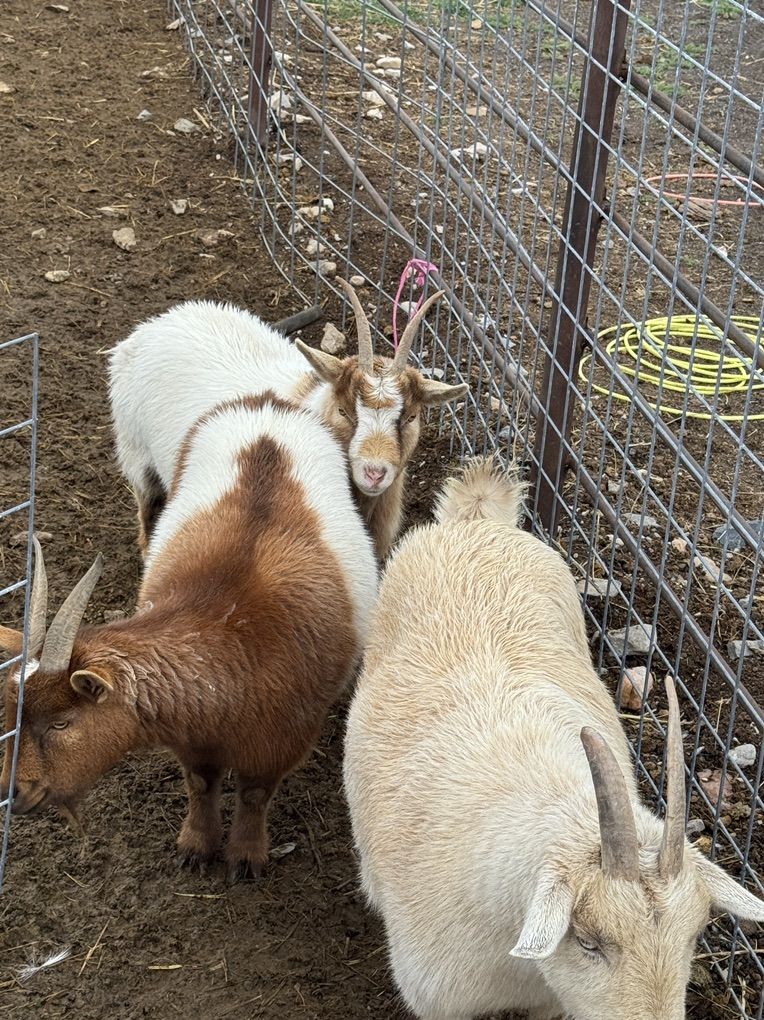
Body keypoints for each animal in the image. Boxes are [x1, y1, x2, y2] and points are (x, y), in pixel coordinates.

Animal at [1, 392, 378, 882]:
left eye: (62, 722)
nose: (13, 794)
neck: (236, 638)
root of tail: (265, 406)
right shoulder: (192, 740)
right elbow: (200, 784)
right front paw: (196, 845)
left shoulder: (281, 743)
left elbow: (254, 795)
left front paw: (246, 855)